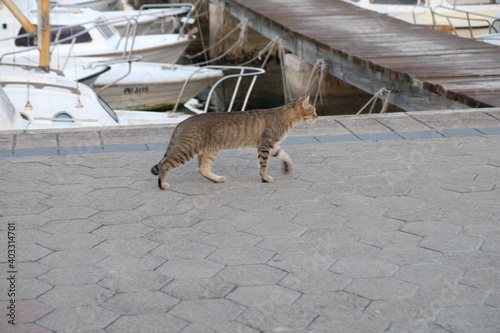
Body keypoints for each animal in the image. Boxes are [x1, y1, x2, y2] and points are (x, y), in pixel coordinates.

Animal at [150, 93, 318, 189]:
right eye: (314, 111)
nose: (317, 116)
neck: (284, 115)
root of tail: (182, 122)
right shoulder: (266, 145)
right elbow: (263, 165)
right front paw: (264, 178)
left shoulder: (272, 145)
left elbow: (284, 155)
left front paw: (287, 166)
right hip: (188, 149)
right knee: (165, 164)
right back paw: (162, 185)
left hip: (209, 151)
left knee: (202, 168)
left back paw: (217, 179)